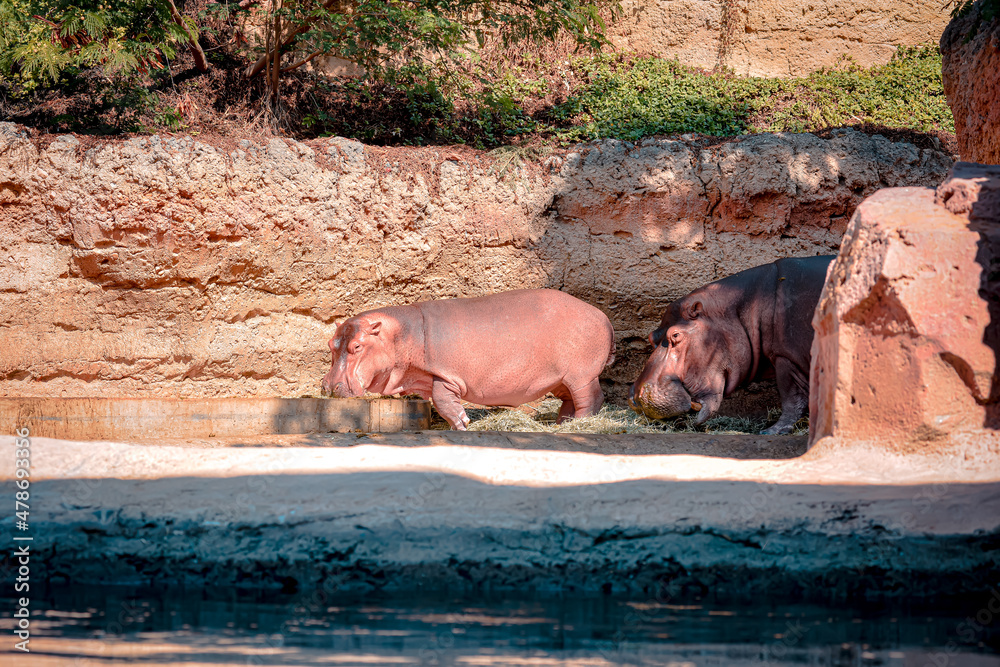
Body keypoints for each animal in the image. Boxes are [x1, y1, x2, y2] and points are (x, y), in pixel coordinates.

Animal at [321, 289, 615, 430]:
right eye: (331, 344)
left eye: (357, 346)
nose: (328, 386)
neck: (398, 334)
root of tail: (602, 315)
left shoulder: (445, 375)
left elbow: (443, 402)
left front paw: (462, 424)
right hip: (560, 380)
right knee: (569, 402)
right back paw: (561, 424)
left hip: (581, 375)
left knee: (590, 399)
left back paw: (580, 425)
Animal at [629, 256, 835, 435]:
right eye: (651, 336)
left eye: (676, 334)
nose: (636, 397)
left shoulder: (785, 356)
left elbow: (792, 396)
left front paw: (770, 432)